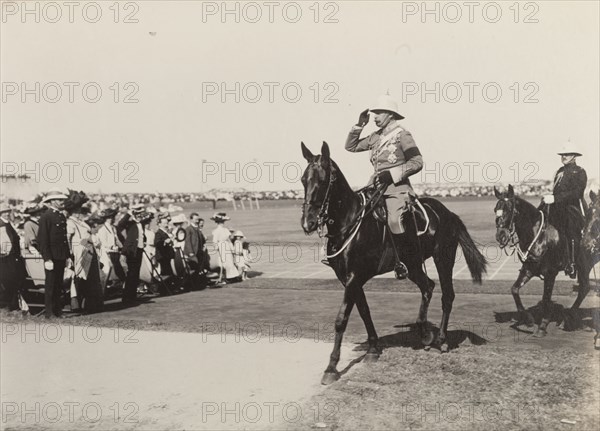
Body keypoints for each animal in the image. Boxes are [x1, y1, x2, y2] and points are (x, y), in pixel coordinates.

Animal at [300, 143, 488, 386]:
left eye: (323, 180)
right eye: (303, 179)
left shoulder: (353, 277)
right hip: (413, 263)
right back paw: (424, 333)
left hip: (443, 258)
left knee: (447, 295)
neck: (349, 223)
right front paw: (372, 349)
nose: (308, 222)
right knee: (428, 286)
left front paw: (332, 367)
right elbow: (364, 311)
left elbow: (341, 319)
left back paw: (440, 339)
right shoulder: (349, 279)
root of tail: (448, 212)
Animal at [494, 184, 592, 336]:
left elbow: (546, 299)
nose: (501, 236)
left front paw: (543, 325)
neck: (540, 237)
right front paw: (528, 320)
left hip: (584, 265)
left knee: (584, 288)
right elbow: (514, 289)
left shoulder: (550, 272)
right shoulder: (528, 269)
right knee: (584, 288)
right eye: (495, 210)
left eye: (509, 209)